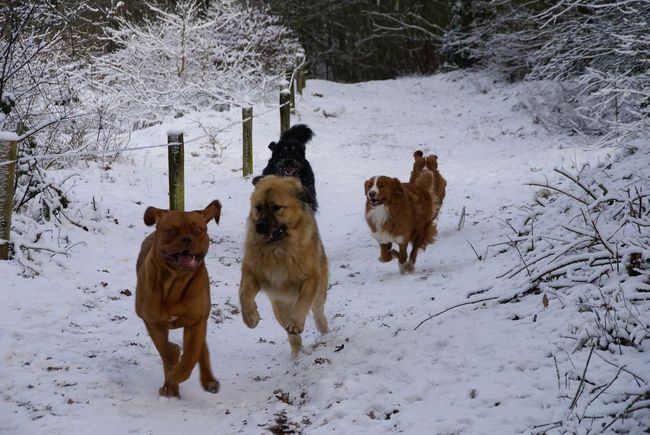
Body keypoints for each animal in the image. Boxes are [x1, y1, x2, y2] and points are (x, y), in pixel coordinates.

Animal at [135, 200, 221, 398]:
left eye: (197, 230)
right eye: (171, 231)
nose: (186, 239)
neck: (175, 280)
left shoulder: (196, 321)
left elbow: (191, 357)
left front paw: (176, 376)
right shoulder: (152, 321)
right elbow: (165, 351)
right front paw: (171, 379)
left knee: (200, 348)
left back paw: (208, 380)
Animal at [239, 175, 328, 357]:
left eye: (276, 208)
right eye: (258, 207)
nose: (259, 226)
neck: (278, 249)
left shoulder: (310, 278)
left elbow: (303, 301)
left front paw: (296, 323)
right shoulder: (252, 272)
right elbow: (244, 293)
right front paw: (250, 317)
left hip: (319, 294)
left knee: (318, 313)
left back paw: (325, 333)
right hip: (279, 308)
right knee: (291, 335)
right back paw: (297, 356)